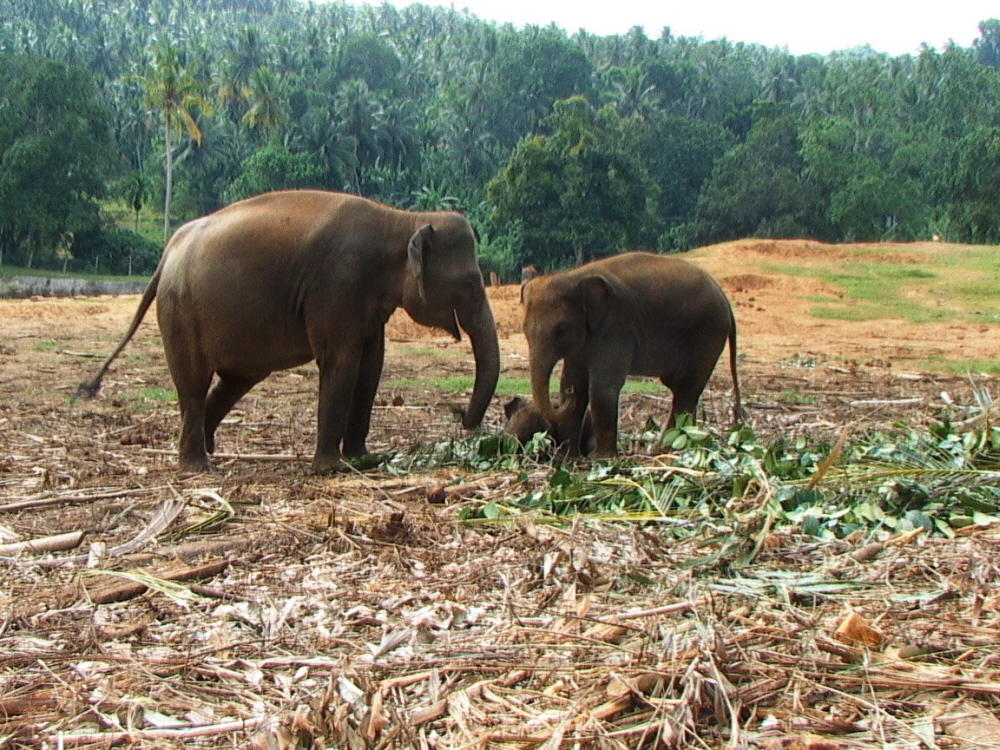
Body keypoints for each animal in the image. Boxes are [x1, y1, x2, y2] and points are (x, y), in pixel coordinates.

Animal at [78, 191, 500, 472]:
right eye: (469, 285)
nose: (462, 419)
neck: (401, 220)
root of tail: (167, 252)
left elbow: (371, 368)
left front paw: (365, 458)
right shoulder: (337, 286)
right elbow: (341, 362)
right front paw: (332, 468)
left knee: (235, 380)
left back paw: (210, 447)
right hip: (180, 311)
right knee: (193, 382)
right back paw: (198, 466)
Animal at [520, 254, 740, 458]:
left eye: (562, 330)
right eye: (524, 330)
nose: (567, 397)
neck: (574, 276)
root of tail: (725, 298)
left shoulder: (615, 326)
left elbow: (602, 387)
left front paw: (599, 459)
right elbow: (574, 382)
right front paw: (567, 459)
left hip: (708, 334)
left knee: (687, 388)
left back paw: (665, 449)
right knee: (681, 388)